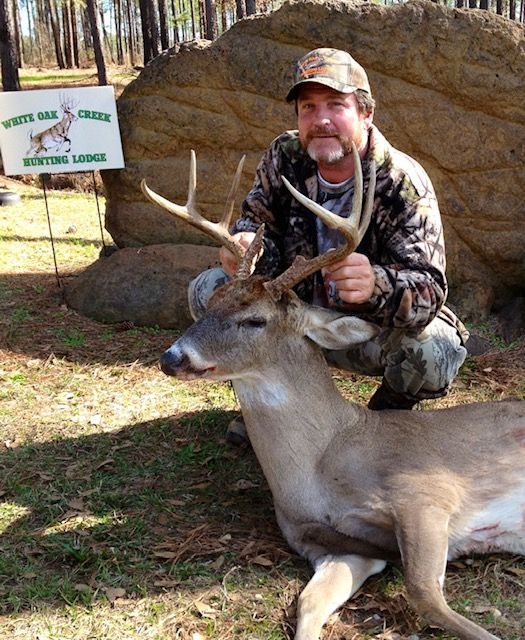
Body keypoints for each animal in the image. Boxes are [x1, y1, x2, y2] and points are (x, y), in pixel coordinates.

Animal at [141, 148, 525, 640]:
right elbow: (309, 605)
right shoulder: (338, 547)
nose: (172, 357)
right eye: (210, 304)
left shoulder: (426, 492)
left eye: (255, 320)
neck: (318, 464)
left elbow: (425, 595)